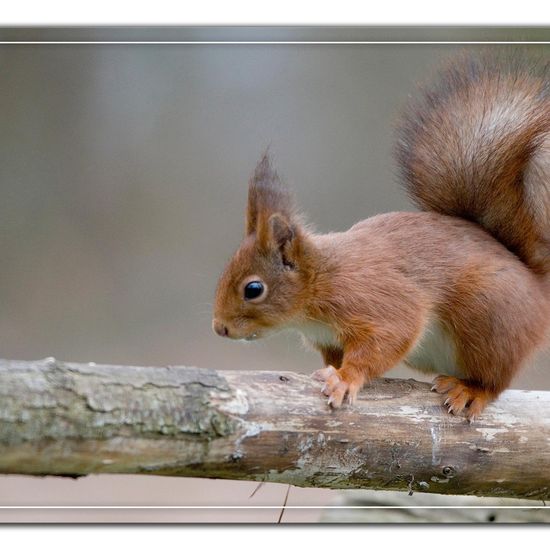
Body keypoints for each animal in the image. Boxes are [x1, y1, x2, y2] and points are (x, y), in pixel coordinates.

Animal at [212, 52, 550, 422]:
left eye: (253, 289)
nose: (219, 328)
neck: (321, 281)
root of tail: (536, 286)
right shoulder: (329, 339)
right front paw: (332, 372)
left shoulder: (374, 301)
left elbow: (388, 337)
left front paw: (344, 379)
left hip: (488, 320)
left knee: (495, 380)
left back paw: (471, 391)